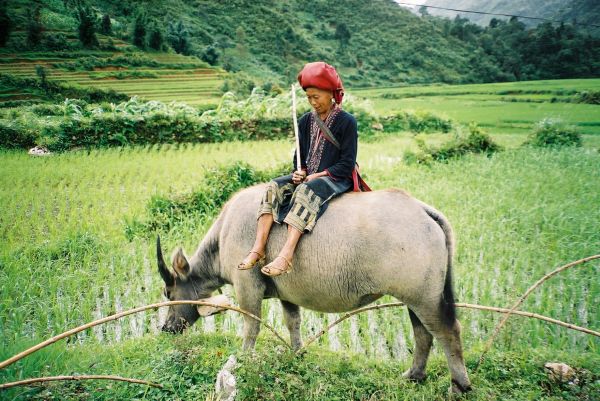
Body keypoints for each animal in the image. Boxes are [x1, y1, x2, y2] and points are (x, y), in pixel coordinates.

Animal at [157, 184, 472, 390]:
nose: (166, 328)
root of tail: (422, 210)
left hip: (424, 297)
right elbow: (292, 322)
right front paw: (297, 353)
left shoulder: (247, 286)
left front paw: (244, 358)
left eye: (169, 293)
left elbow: (251, 325)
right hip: (415, 298)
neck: (223, 236)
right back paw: (414, 375)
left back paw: (459, 385)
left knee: (447, 331)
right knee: (423, 333)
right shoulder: (286, 292)